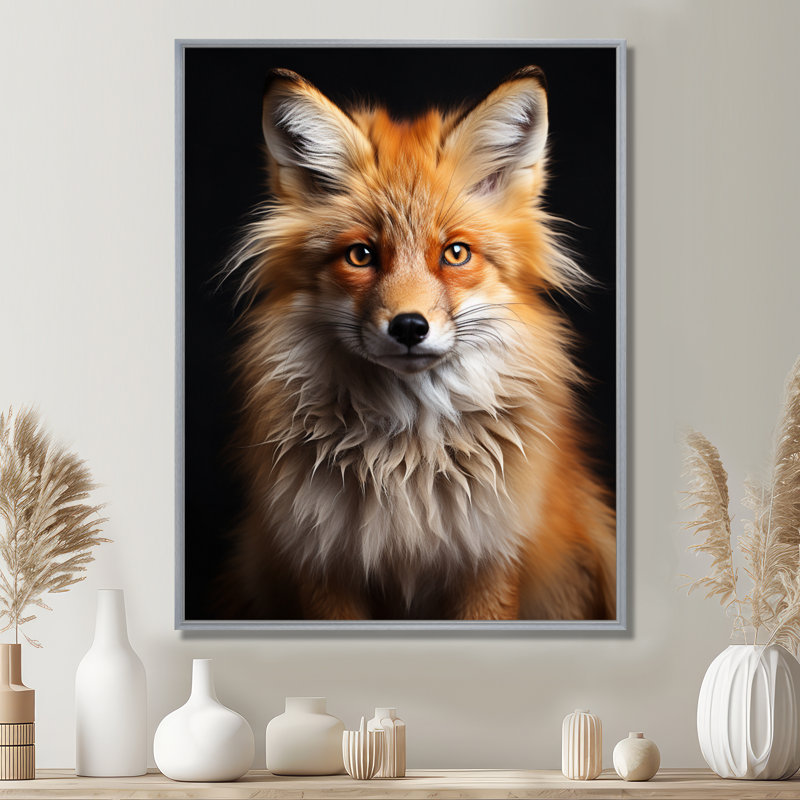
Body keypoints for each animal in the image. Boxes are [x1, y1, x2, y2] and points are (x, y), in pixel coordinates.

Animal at [222, 66, 616, 620]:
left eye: (455, 253)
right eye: (361, 255)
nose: (409, 327)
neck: (406, 462)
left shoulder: (491, 559)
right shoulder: (321, 563)